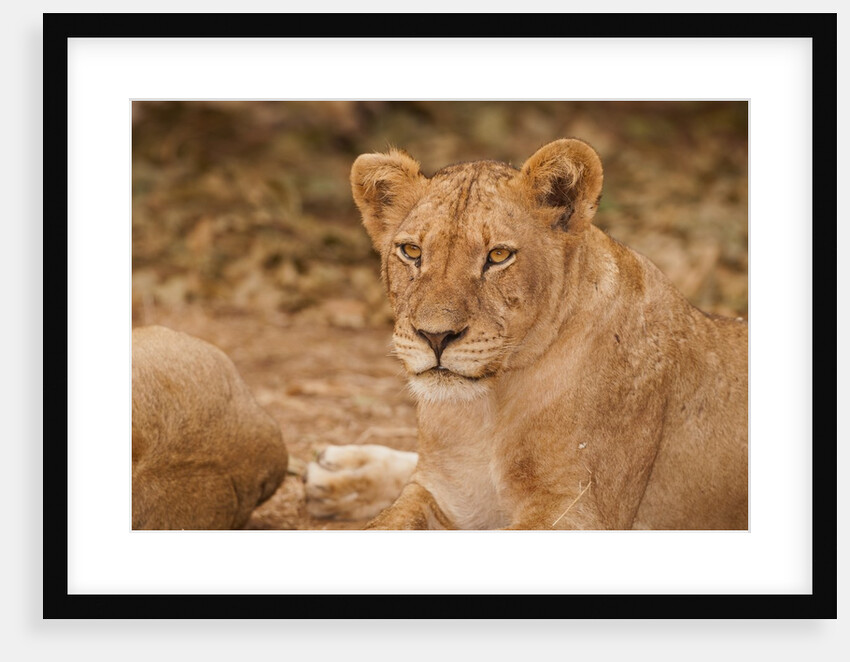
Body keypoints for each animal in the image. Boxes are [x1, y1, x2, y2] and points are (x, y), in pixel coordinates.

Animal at [305, 137, 747, 530]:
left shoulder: (576, 511)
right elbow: (386, 523)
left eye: (498, 256)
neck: (487, 410)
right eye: (411, 252)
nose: (435, 337)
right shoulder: (445, 493)